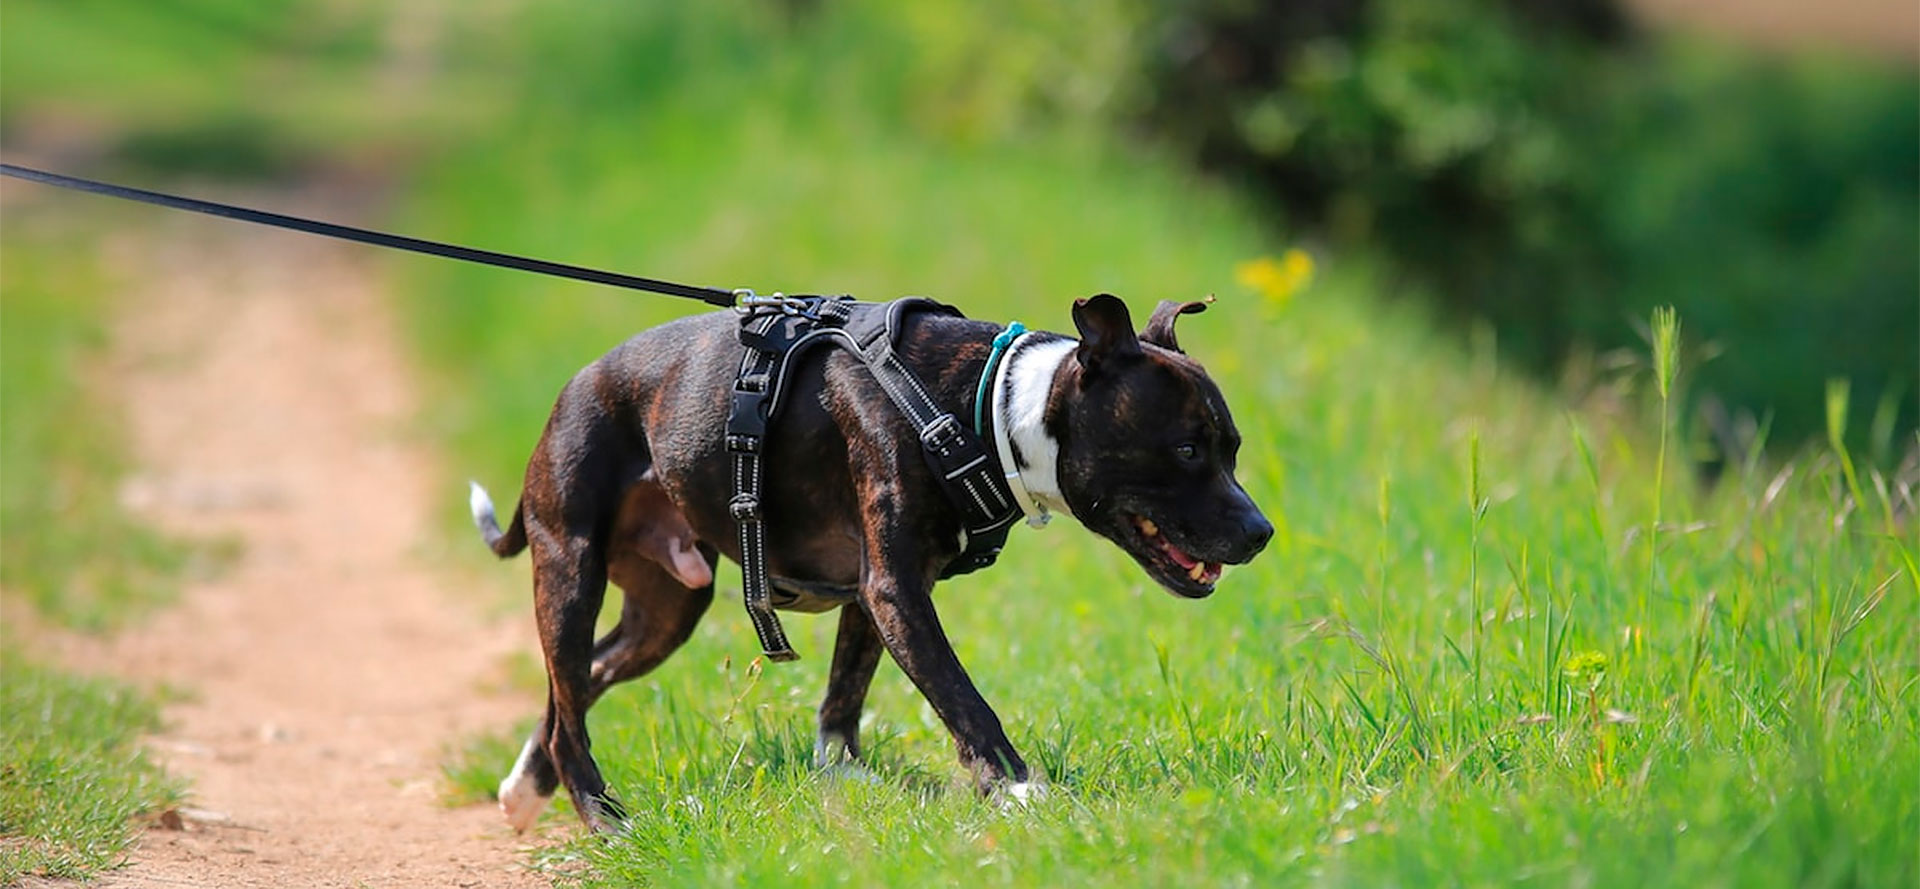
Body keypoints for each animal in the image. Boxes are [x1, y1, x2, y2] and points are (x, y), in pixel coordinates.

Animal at [466, 295, 1274, 833]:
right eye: (1187, 449)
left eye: (1232, 448)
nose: (1262, 531)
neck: (992, 406)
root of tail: (568, 394)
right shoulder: (896, 591)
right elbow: (962, 698)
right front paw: (1018, 791)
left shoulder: (867, 596)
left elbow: (842, 697)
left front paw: (844, 776)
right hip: (571, 567)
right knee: (571, 699)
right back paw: (604, 816)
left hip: (666, 609)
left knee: (582, 678)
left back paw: (527, 782)